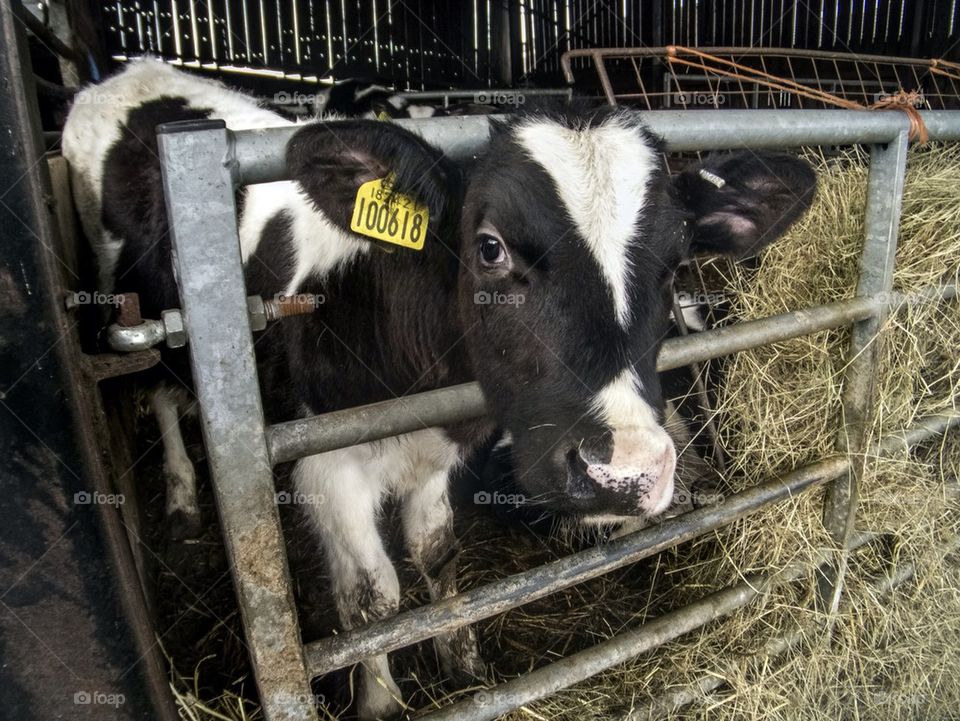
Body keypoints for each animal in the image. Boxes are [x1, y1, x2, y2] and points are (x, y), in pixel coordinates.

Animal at [62, 58, 815, 719]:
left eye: (675, 261)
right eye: (490, 247)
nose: (625, 472)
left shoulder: (441, 453)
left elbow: (436, 554)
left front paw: (462, 658)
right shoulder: (322, 464)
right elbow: (373, 599)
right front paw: (380, 699)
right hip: (138, 302)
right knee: (160, 392)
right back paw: (183, 492)